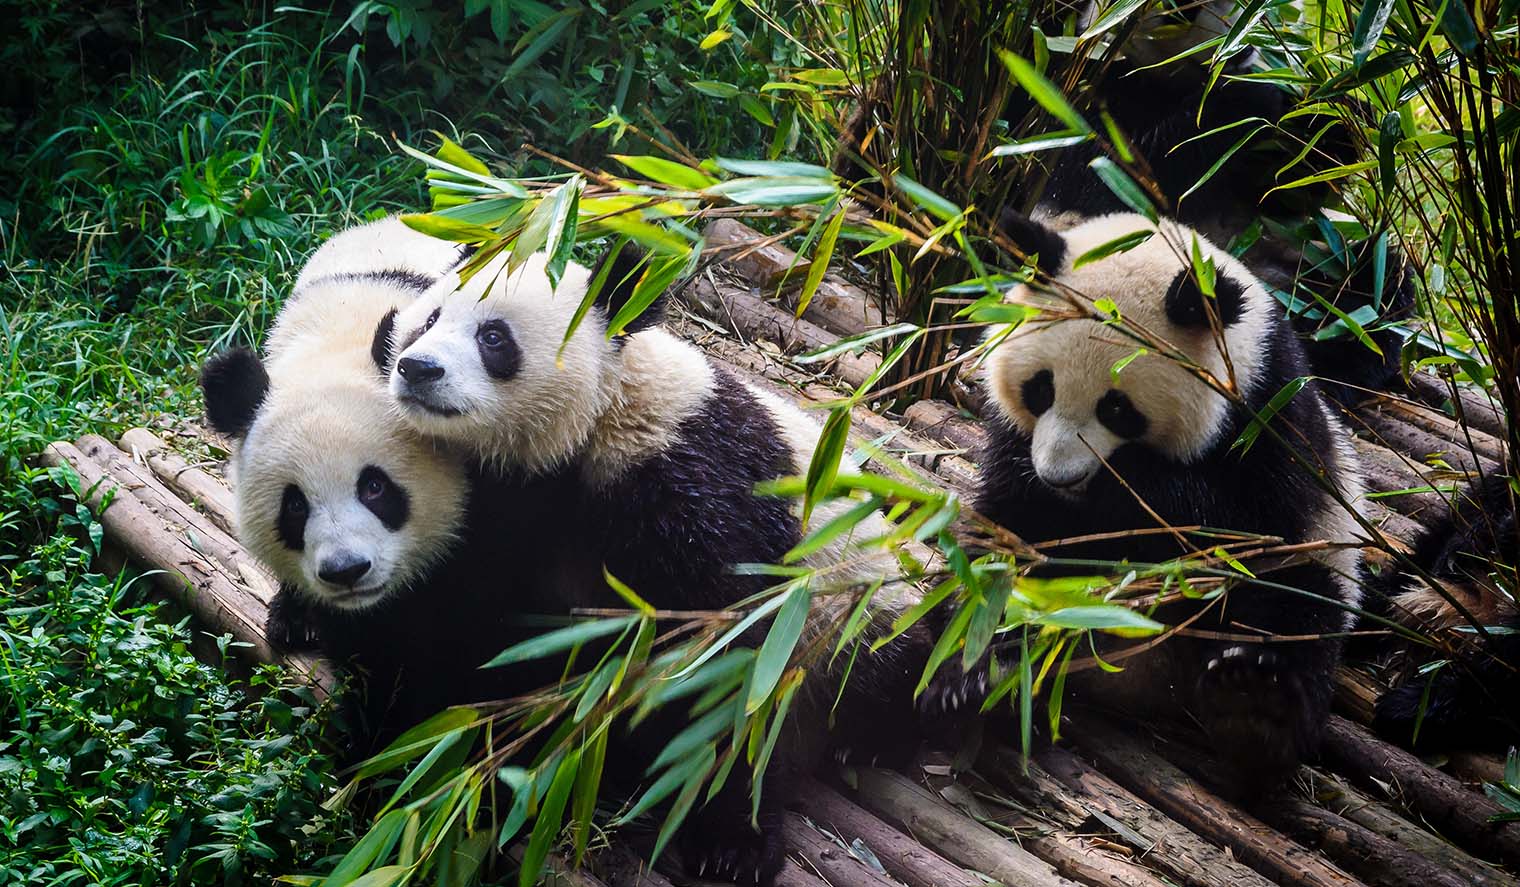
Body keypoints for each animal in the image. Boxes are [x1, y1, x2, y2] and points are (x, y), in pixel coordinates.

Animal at [370, 241, 936, 880]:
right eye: (429, 320)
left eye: (494, 338)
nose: (417, 368)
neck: (596, 424)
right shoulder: (502, 510)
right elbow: (470, 627)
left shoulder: (691, 479)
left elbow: (726, 656)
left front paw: (732, 843)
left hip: (856, 600)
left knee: (887, 661)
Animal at [966, 209, 1374, 795]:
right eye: (1040, 389)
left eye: (1117, 408)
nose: (1059, 474)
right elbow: (1011, 521)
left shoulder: (1272, 419)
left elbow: (1235, 522)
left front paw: (1127, 488)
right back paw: (987, 674)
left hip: (1317, 560)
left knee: (1294, 609)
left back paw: (1253, 709)